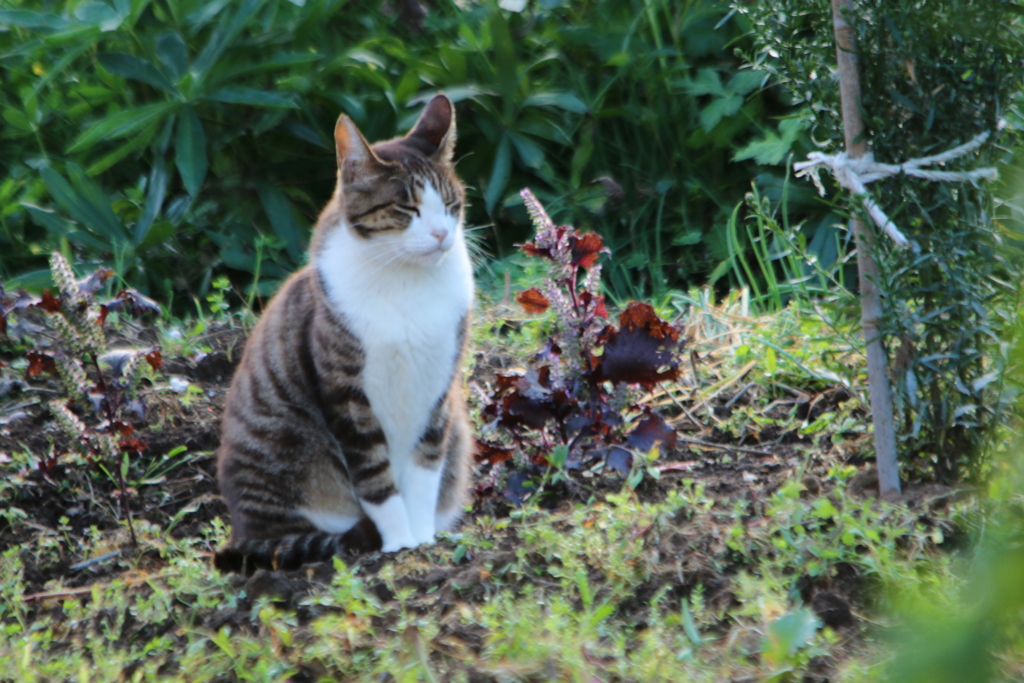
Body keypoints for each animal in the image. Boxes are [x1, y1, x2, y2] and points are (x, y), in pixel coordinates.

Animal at [215, 93, 475, 573]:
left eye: (452, 205)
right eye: (407, 208)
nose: (441, 235)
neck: (405, 283)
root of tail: (241, 531)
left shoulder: (437, 388)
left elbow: (425, 472)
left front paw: (423, 539)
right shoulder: (345, 392)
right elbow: (375, 477)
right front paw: (399, 544)